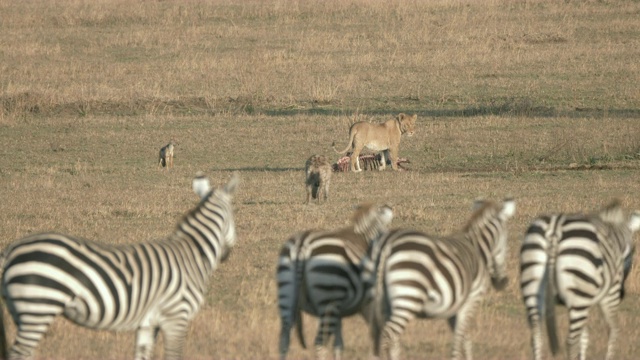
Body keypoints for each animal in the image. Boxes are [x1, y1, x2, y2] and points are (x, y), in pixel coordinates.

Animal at [0, 173, 240, 358]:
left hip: (21, 310)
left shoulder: (148, 323)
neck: (192, 251)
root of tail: (11, 250)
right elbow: (174, 355)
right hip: (38, 306)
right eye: (234, 216)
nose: (226, 254)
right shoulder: (176, 315)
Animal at [278, 204, 396, 358]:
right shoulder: (368, 303)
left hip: (288, 297)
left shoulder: (340, 310)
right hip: (328, 303)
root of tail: (302, 246)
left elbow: (338, 343)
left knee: (284, 341)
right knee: (319, 343)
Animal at [370, 198, 516, 358]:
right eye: (506, 242)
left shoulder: (454, 308)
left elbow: (464, 338)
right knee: (388, 334)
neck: (477, 248)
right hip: (408, 296)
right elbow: (460, 337)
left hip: (385, 300)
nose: (502, 282)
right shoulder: (471, 299)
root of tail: (386, 247)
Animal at [520, 200, 640, 360]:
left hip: (533, 287)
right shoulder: (609, 295)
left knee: (536, 336)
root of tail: (555, 230)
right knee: (571, 341)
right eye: (633, 251)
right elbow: (613, 330)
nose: (622, 293)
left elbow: (585, 338)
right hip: (580, 296)